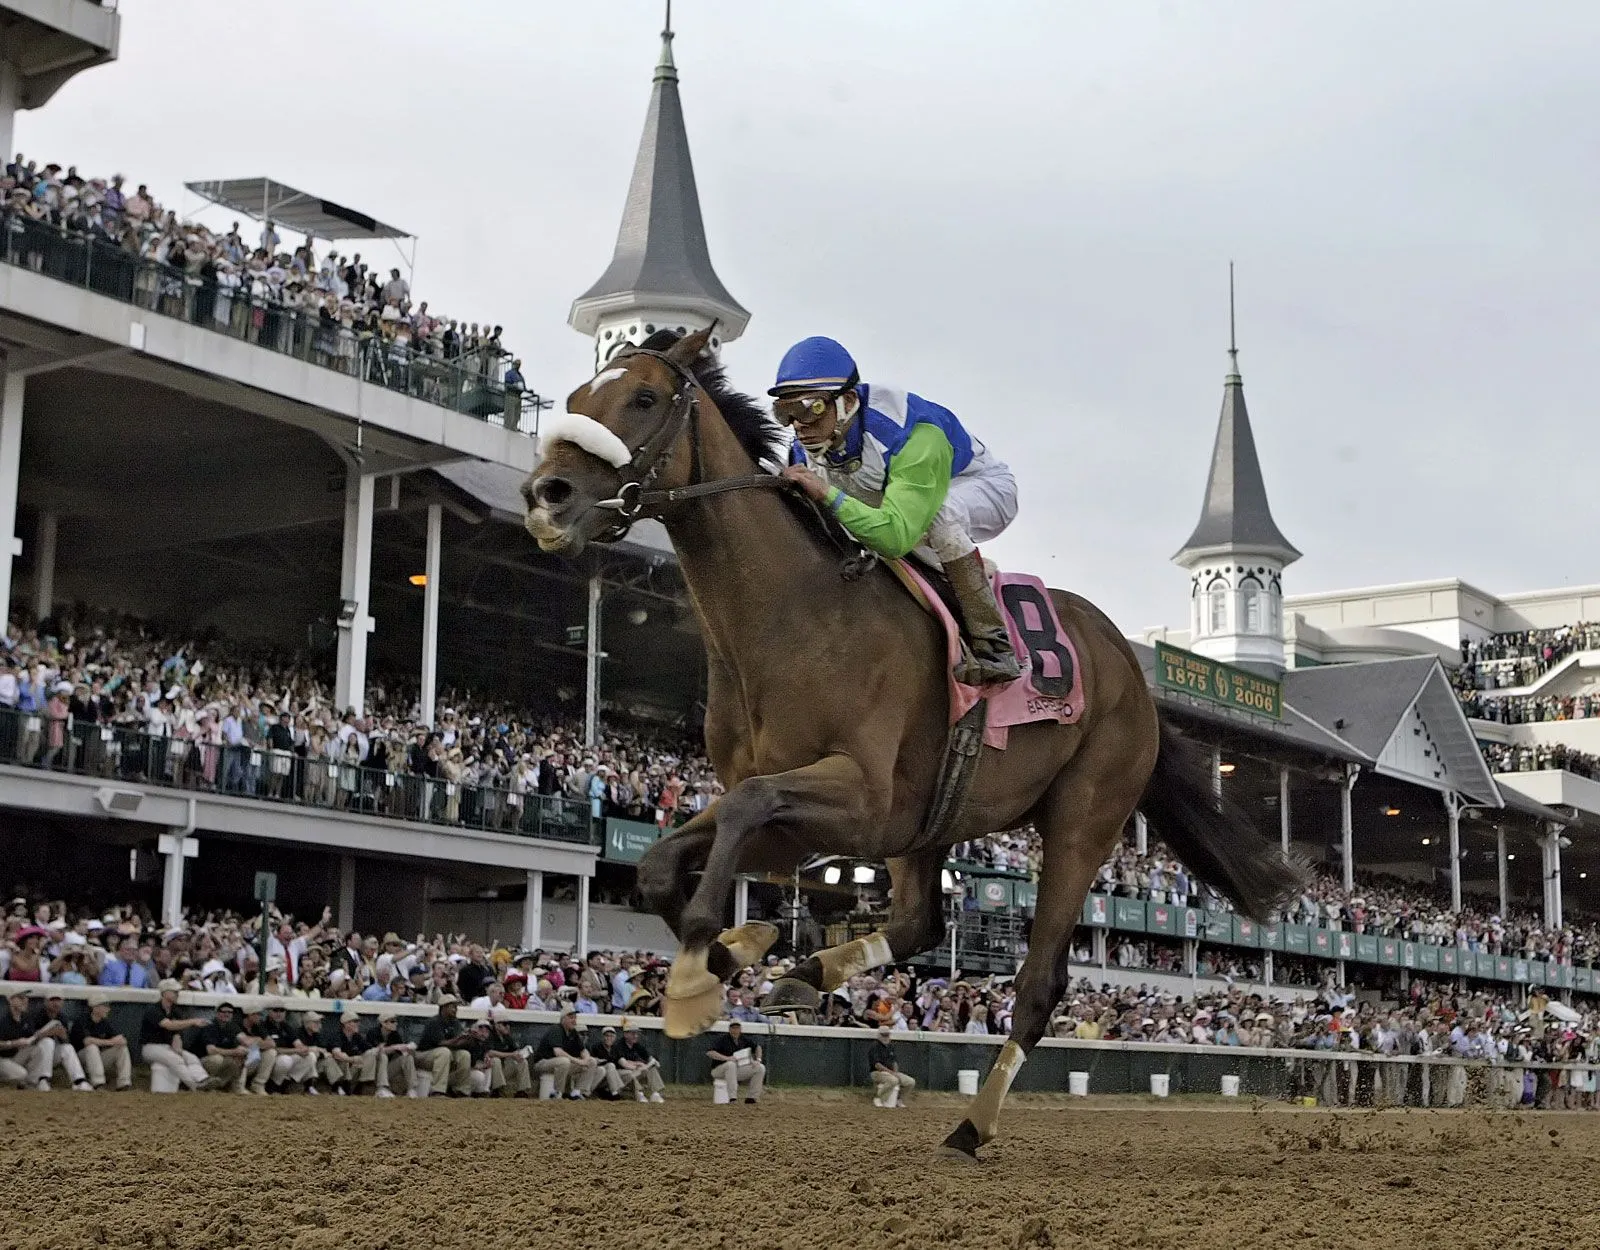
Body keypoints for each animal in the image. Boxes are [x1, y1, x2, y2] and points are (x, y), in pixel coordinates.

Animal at [524, 326, 1299, 1158]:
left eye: (642, 398)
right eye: (577, 397)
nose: (546, 496)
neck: (790, 618)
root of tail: (1132, 669)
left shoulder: (859, 799)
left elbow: (741, 812)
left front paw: (702, 972)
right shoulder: (809, 814)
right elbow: (668, 860)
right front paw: (742, 949)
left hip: (1083, 819)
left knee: (1038, 985)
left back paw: (970, 1124)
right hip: (933, 820)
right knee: (919, 920)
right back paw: (810, 974)